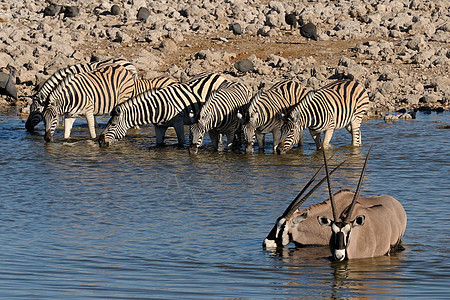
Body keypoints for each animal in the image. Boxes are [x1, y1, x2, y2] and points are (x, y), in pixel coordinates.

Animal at [100, 72, 230, 148]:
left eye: (112, 124)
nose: (100, 141)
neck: (156, 108)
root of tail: (218, 75)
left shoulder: (178, 122)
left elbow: (181, 142)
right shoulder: (159, 126)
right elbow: (159, 144)